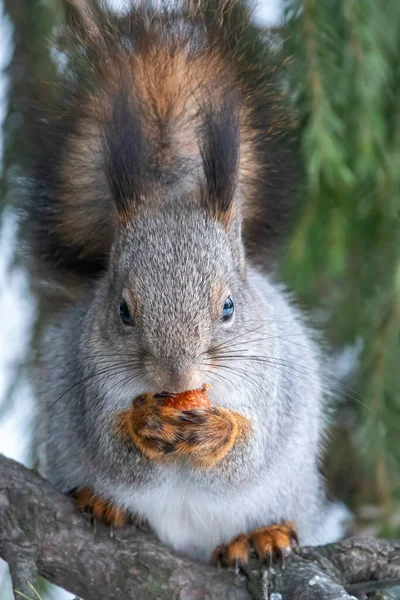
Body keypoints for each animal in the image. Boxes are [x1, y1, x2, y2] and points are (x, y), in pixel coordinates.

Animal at [23, 0, 332, 568]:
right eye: (123, 310)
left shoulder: (269, 387)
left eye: (229, 307)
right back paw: (104, 504)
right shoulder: (90, 381)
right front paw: (143, 426)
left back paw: (261, 535)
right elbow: (116, 453)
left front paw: (219, 431)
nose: (177, 376)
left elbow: (246, 455)